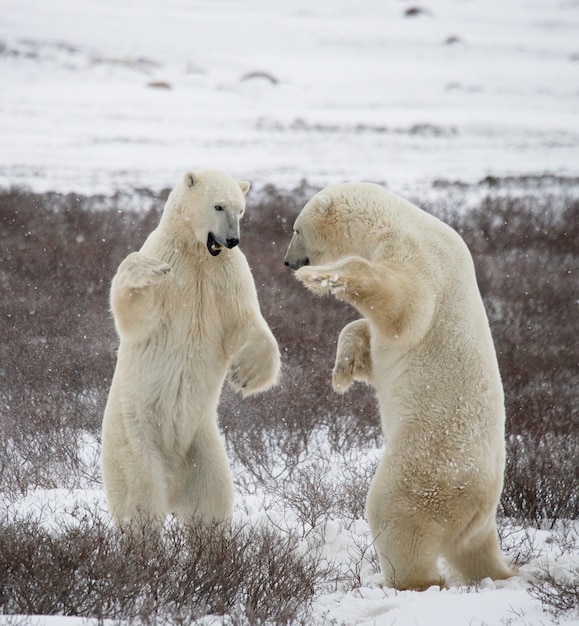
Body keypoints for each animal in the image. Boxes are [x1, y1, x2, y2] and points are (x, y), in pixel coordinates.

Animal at [102, 167, 280, 528]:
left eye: (241, 210)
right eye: (218, 206)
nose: (232, 240)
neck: (197, 254)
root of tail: (173, 483)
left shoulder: (227, 275)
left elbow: (245, 321)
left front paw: (244, 373)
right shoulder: (170, 261)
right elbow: (137, 316)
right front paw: (145, 270)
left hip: (204, 442)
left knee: (212, 499)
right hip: (134, 433)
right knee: (140, 498)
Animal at [284, 182, 516, 588]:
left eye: (297, 229)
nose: (289, 262)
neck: (394, 220)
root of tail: (480, 508)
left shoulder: (417, 255)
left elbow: (403, 307)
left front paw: (322, 277)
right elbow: (370, 342)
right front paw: (343, 369)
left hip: (426, 469)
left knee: (395, 515)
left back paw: (401, 581)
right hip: (473, 520)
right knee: (473, 552)